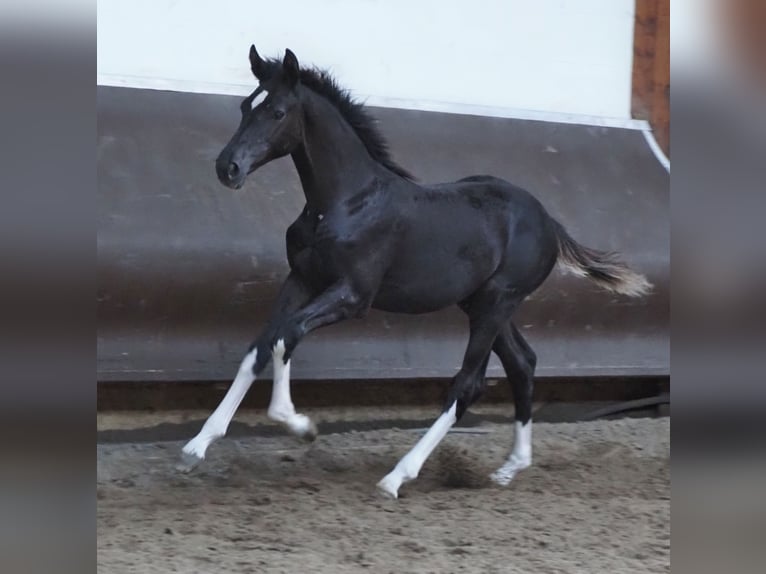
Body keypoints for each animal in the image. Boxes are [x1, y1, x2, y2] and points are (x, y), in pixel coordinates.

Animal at [182, 48, 656, 500]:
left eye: (278, 112)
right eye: (246, 106)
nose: (228, 168)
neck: (344, 202)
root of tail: (549, 221)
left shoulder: (353, 296)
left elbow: (286, 336)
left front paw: (298, 424)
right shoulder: (301, 279)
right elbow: (260, 346)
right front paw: (196, 447)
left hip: (496, 303)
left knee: (469, 383)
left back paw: (397, 477)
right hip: (482, 304)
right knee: (523, 363)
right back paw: (509, 468)